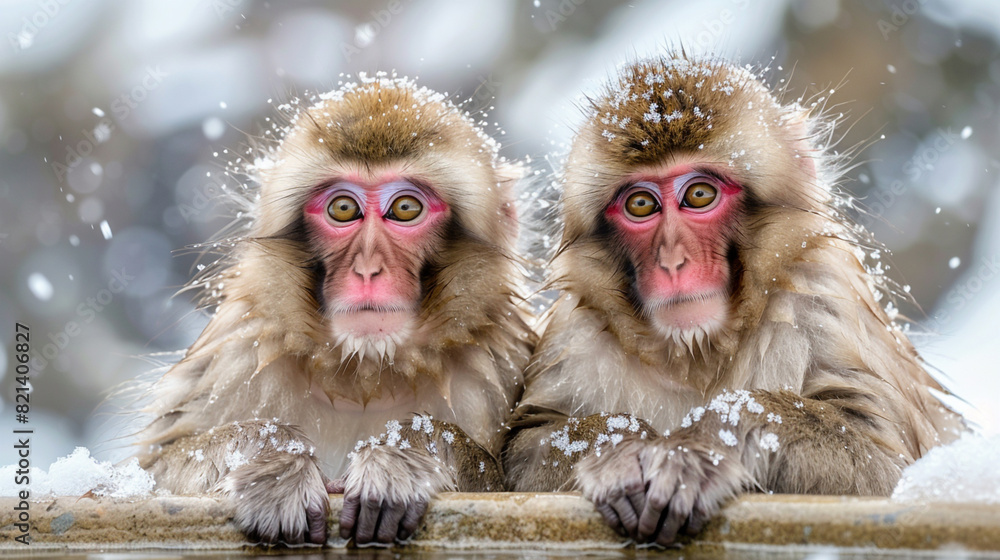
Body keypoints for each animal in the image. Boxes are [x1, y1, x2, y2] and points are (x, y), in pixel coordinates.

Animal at [132, 73, 535, 546]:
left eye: (406, 208)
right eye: (343, 209)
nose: (367, 269)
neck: (365, 373)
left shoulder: (506, 363)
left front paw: (403, 454)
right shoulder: (236, 354)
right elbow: (145, 478)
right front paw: (275, 462)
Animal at [502, 54, 965, 546]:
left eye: (699, 194)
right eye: (641, 205)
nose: (672, 261)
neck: (697, 352)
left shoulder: (824, 295)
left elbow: (884, 467)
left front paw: (701, 443)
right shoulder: (577, 333)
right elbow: (527, 446)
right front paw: (621, 451)